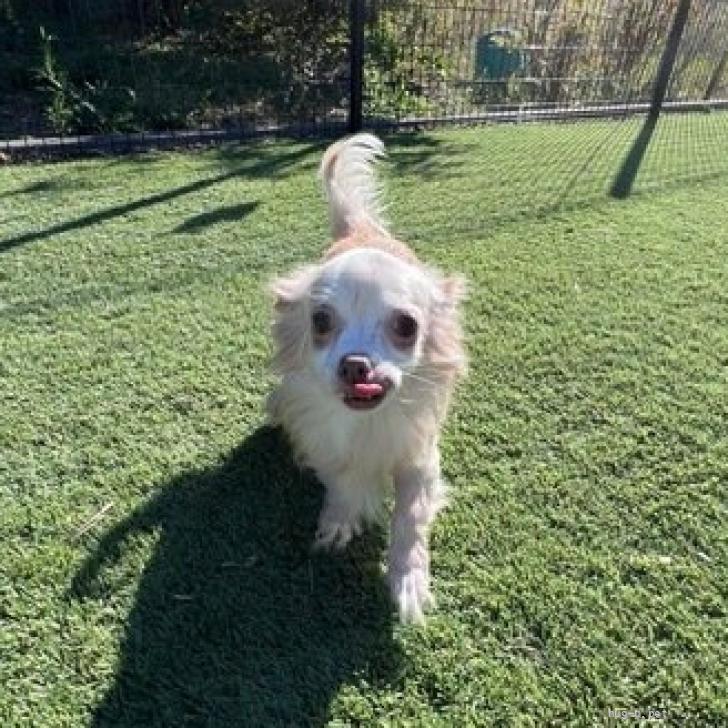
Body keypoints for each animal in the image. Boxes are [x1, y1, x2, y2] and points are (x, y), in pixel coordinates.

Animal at [267, 133, 466, 623]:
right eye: (320, 321)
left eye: (406, 326)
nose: (356, 365)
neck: (366, 423)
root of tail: (362, 233)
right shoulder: (323, 442)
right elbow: (341, 481)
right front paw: (341, 518)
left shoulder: (420, 457)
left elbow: (410, 517)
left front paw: (409, 577)